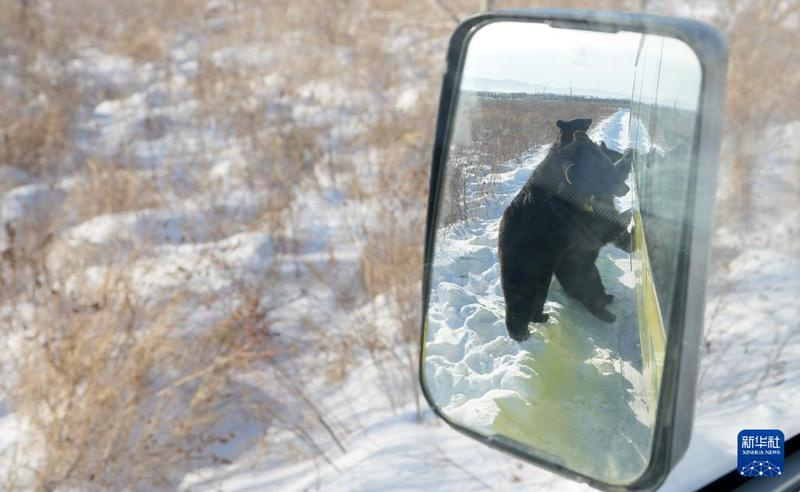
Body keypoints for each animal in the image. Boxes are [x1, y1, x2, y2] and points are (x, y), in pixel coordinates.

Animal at [500, 130, 632, 342]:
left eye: (609, 166)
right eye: (604, 175)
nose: (625, 188)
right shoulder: (565, 218)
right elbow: (595, 230)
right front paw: (623, 221)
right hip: (527, 262)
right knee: (522, 295)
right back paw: (520, 331)